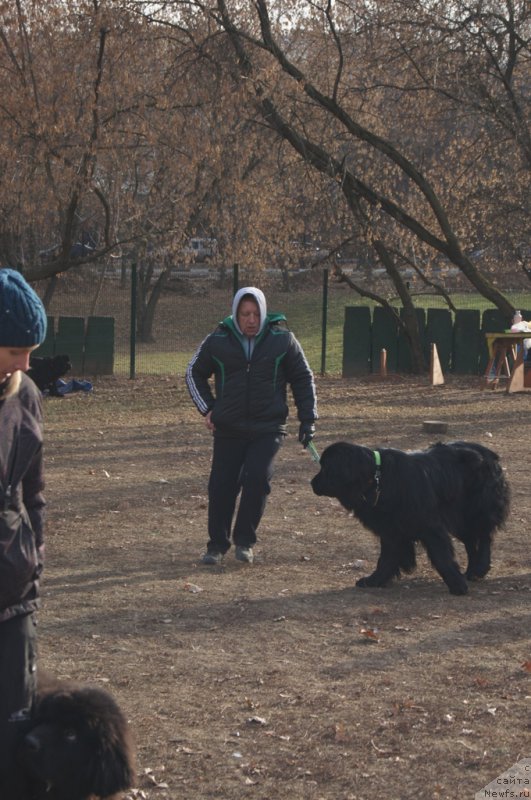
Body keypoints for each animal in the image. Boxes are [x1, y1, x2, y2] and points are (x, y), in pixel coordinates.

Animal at [312, 438, 512, 592]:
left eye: (326, 467)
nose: (312, 482)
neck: (377, 478)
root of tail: (489, 453)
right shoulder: (391, 530)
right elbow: (386, 558)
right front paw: (375, 580)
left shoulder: (430, 526)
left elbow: (441, 556)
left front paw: (457, 586)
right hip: (461, 519)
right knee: (471, 542)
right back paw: (472, 572)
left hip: (478, 510)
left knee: (484, 536)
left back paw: (480, 567)